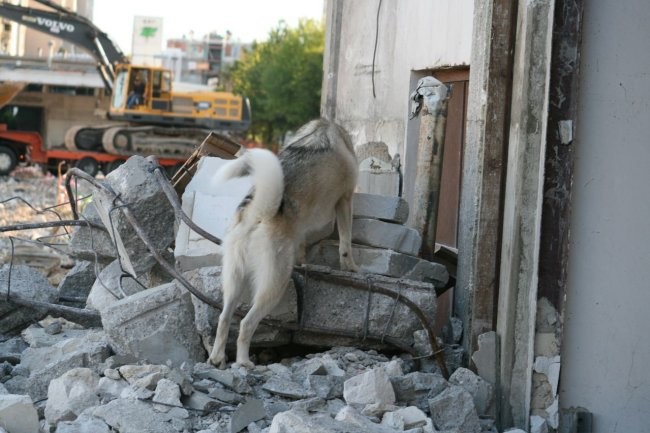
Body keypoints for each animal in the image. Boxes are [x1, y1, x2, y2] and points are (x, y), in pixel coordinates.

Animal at [208, 118, 356, 368]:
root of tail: (257, 213)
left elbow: (303, 245)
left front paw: (304, 262)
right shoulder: (344, 201)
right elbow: (346, 243)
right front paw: (351, 267)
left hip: (234, 281)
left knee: (224, 318)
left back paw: (217, 358)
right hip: (274, 284)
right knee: (247, 324)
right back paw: (244, 362)